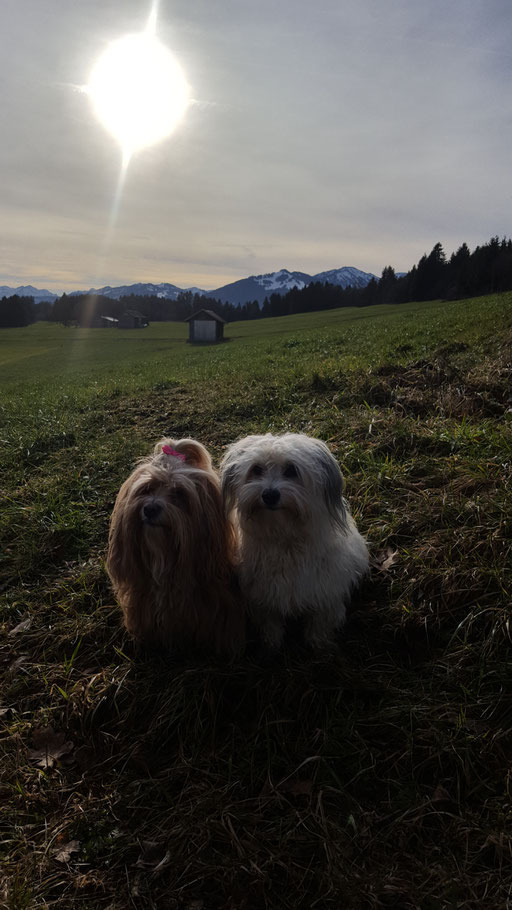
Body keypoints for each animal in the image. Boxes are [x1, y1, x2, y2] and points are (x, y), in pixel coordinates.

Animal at [220, 432, 368, 652]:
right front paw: (272, 642)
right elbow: (270, 620)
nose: (269, 495)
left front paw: (318, 642)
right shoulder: (264, 594)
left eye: (291, 470)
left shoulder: (325, 590)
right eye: (256, 469)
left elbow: (321, 619)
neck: (284, 539)